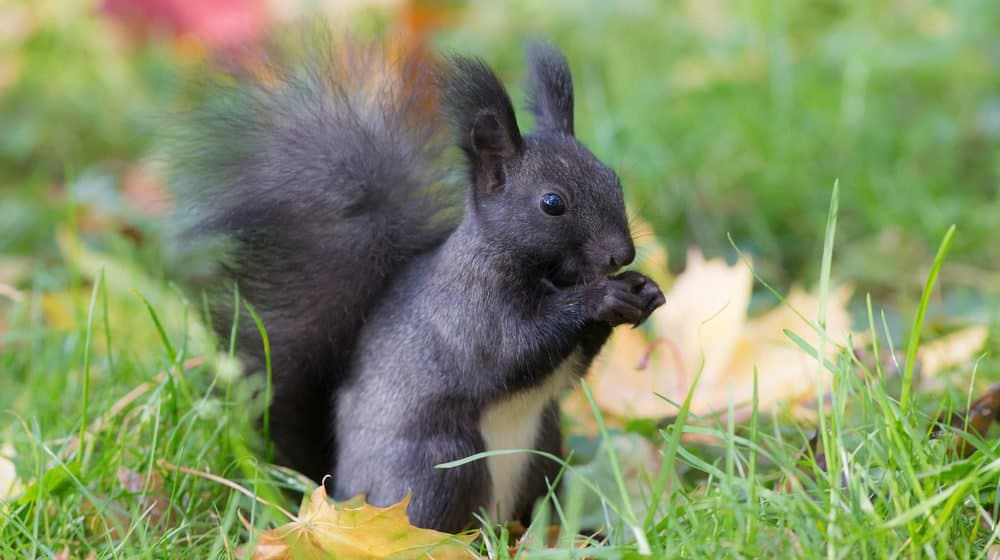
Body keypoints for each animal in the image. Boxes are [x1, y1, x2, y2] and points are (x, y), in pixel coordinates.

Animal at [172, 37, 668, 532]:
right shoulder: (467, 309)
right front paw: (602, 296)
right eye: (552, 203)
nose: (621, 255)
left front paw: (643, 291)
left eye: (613, 179)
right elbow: (514, 348)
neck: (545, 273)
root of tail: (338, 492)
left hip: (542, 454)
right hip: (439, 466)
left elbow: (570, 368)